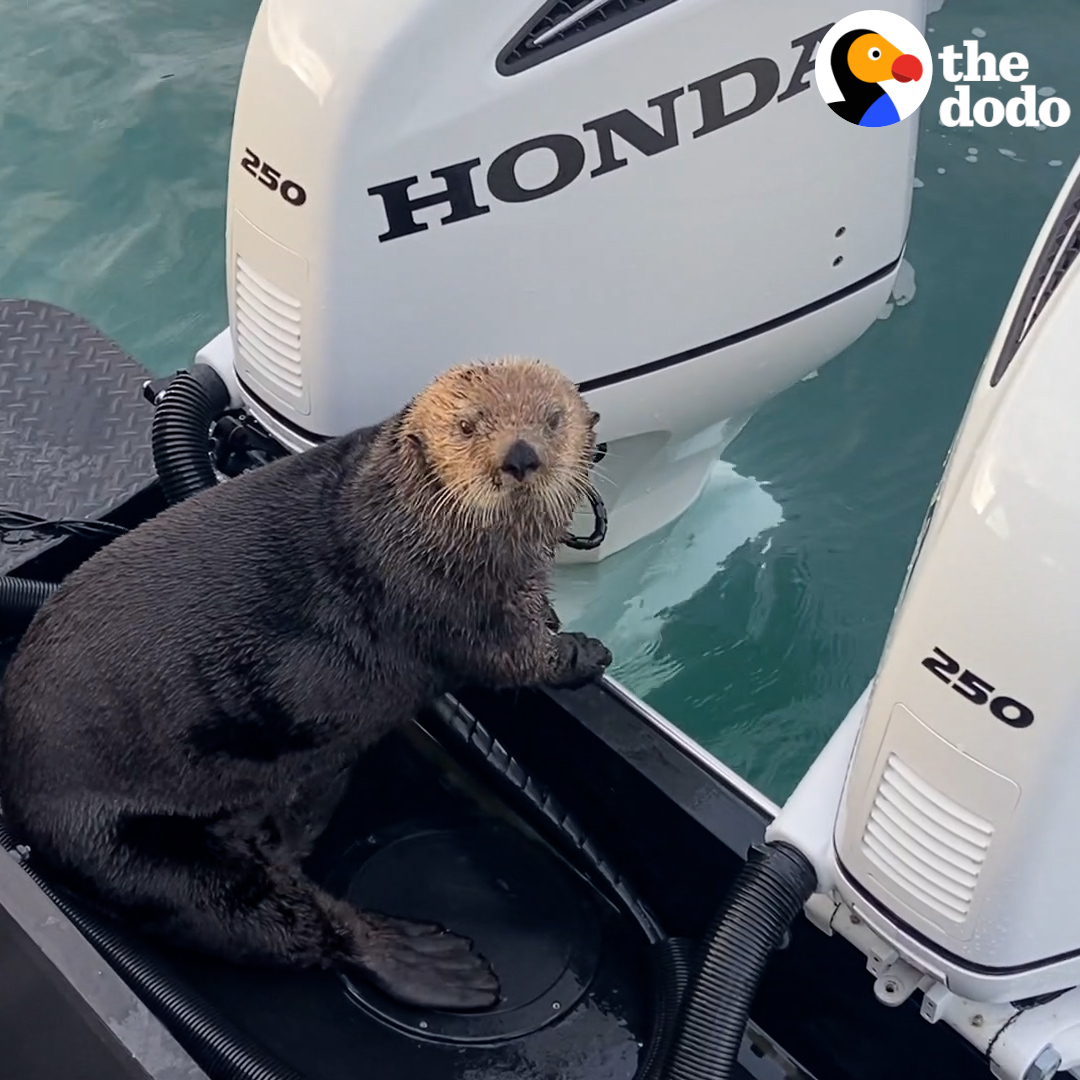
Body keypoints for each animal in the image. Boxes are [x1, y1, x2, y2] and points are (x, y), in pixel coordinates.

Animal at [0, 358, 612, 1013]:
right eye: (468, 425)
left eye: (553, 419)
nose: (520, 455)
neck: (396, 510)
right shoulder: (452, 600)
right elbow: (514, 659)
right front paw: (584, 651)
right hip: (139, 854)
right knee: (286, 925)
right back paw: (434, 962)